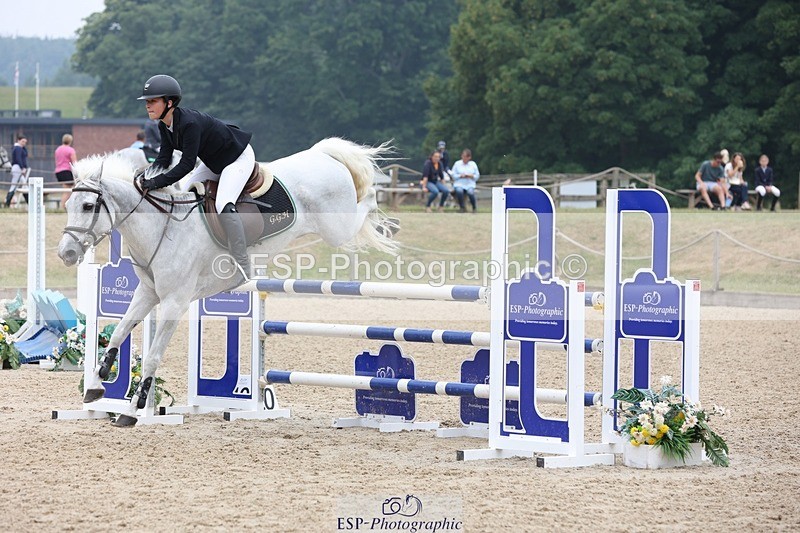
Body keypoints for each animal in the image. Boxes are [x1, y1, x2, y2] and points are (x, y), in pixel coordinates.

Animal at [57, 137, 397, 426]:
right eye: (68, 206)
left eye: (88, 206)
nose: (66, 253)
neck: (164, 227)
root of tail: (322, 154)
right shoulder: (148, 293)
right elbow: (118, 334)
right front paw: (96, 386)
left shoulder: (175, 303)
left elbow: (153, 357)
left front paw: (131, 410)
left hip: (338, 228)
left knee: (366, 203)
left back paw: (384, 213)